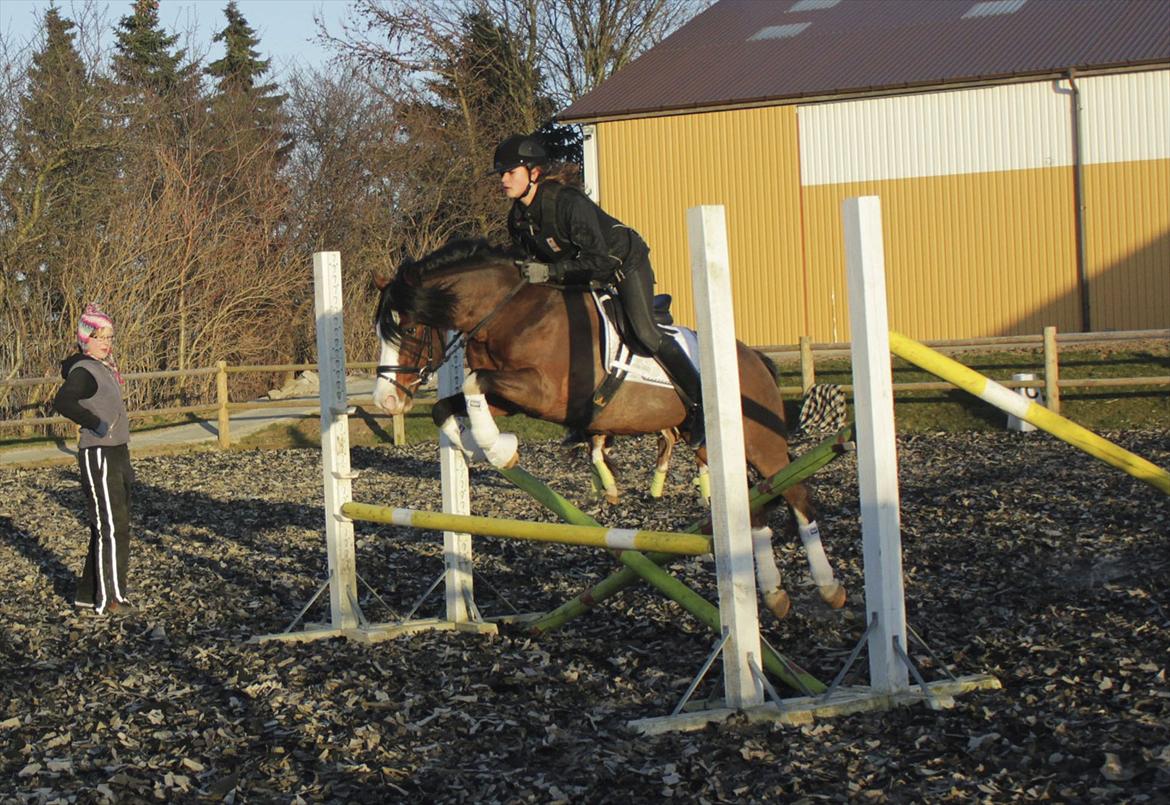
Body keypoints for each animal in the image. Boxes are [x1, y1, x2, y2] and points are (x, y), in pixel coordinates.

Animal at [370, 238, 846, 618]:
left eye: (408, 329)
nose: (386, 401)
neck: (511, 312)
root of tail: (756, 360)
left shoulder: (547, 392)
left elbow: (473, 383)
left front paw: (498, 448)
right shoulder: (510, 397)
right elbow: (449, 405)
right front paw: (477, 445)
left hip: (762, 442)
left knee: (798, 495)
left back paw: (828, 588)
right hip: (721, 446)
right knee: (757, 505)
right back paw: (775, 594)